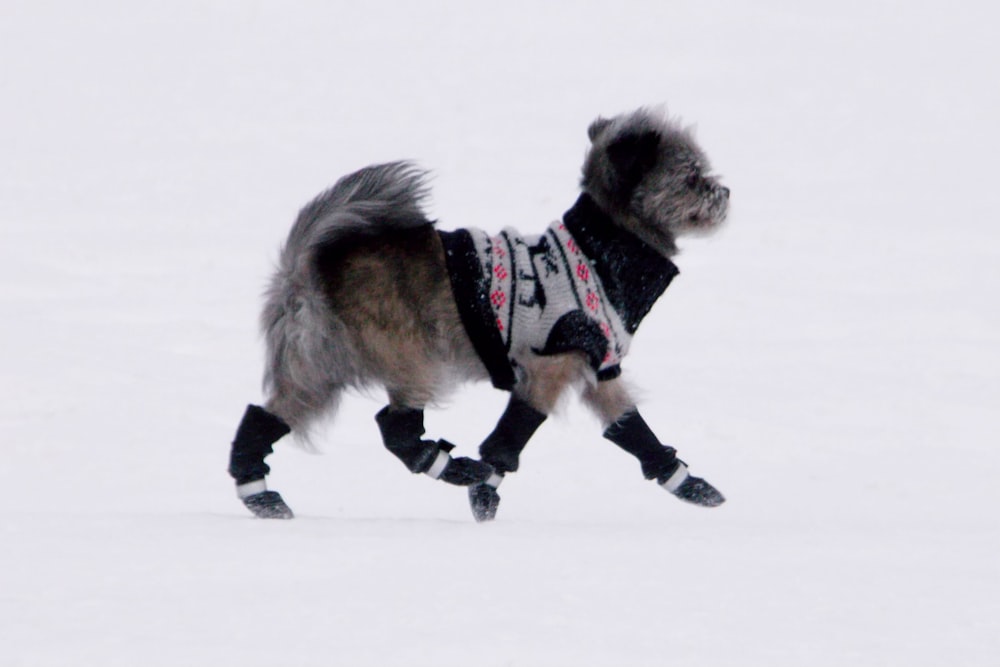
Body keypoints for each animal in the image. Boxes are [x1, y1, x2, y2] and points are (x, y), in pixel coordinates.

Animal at [229, 108, 728, 520]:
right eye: (691, 176)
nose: (723, 191)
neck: (602, 252)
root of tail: (307, 266)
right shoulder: (549, 367)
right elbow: (509, 439)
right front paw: (484, 493)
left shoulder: (600, 374)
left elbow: (635, 432)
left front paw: (688, 484)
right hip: (410, 360)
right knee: (395, 429)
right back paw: (452, 468)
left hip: (319, 369)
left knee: (267, 417)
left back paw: (259, 494)